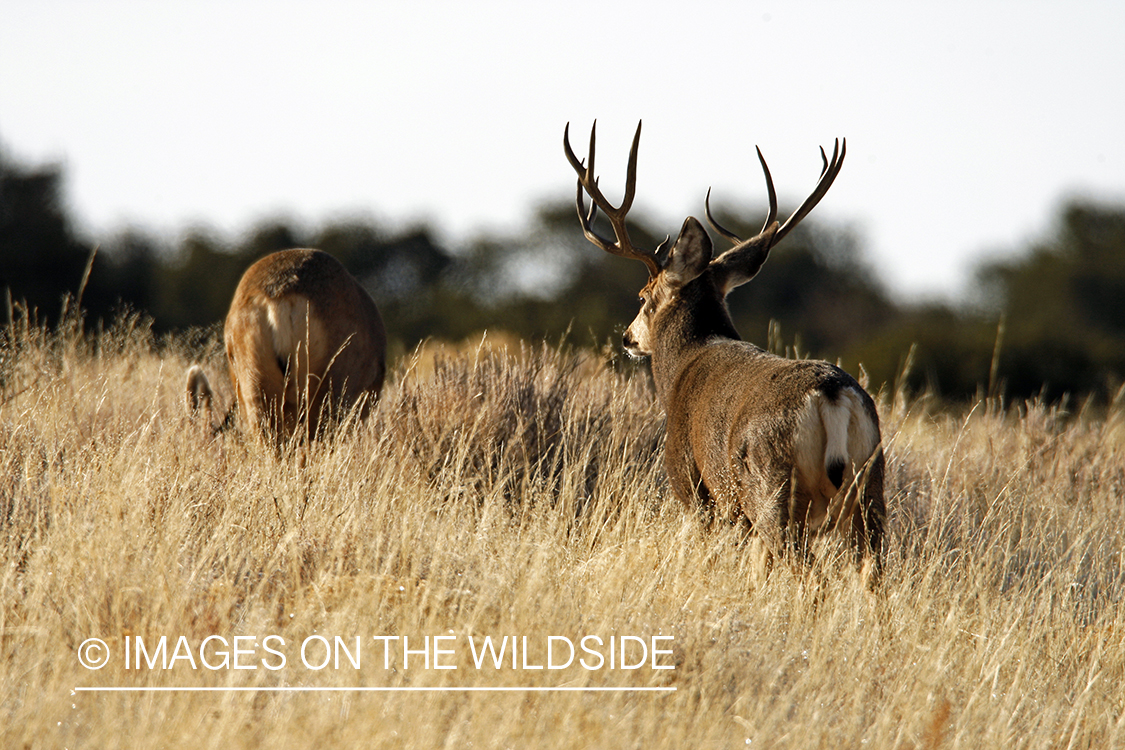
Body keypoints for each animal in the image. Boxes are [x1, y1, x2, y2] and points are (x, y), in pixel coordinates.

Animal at [564, 121, 885, 577]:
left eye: (642, 296)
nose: (628, 338)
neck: (683, 365)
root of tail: (832, 394)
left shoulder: (696, 486)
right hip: (871, 484)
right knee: (873, 569)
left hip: (769, 487)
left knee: (801, 566)